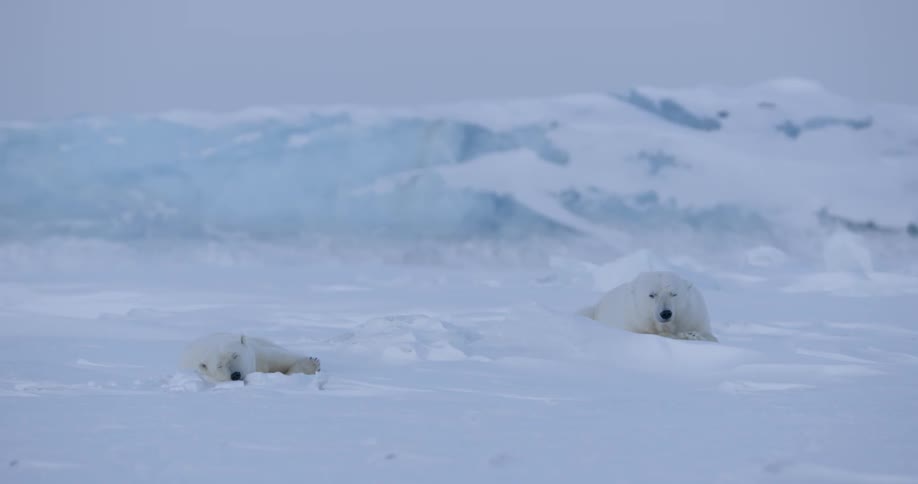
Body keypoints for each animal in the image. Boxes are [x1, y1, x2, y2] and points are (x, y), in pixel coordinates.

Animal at [180, 332, 321, 382]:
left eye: (235, 355)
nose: (235, 374)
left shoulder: (260, 355)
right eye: (219, 365)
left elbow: (286, 360)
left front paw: (312, 364)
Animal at [579, 271, 718, 342]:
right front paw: (684, 335)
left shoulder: (694, 315)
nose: (666, 313)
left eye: (674, 294)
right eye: (652, 295)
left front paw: (693, 334)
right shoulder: (634, 323)